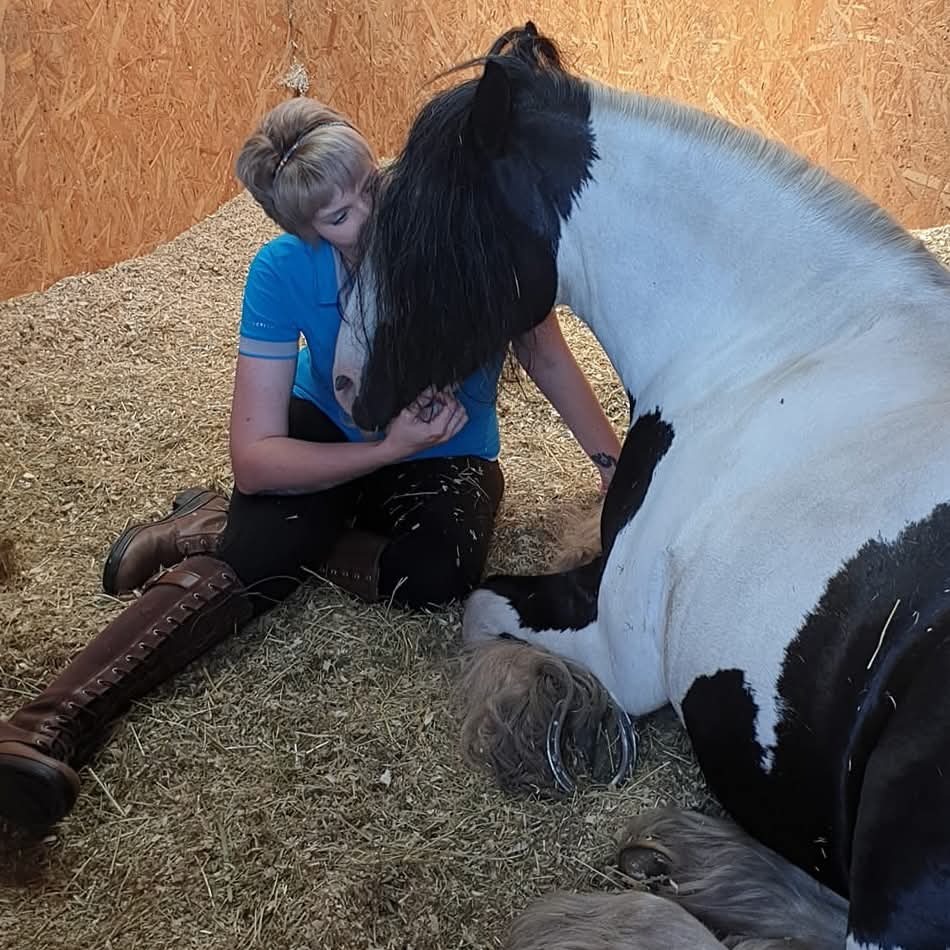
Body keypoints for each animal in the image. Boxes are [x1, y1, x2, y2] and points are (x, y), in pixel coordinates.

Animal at [333, 23, 950, 950]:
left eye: (412, 234)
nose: (343, 388)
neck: (774, 347)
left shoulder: (625, 653)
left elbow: (483, 609)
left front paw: (540, 718)